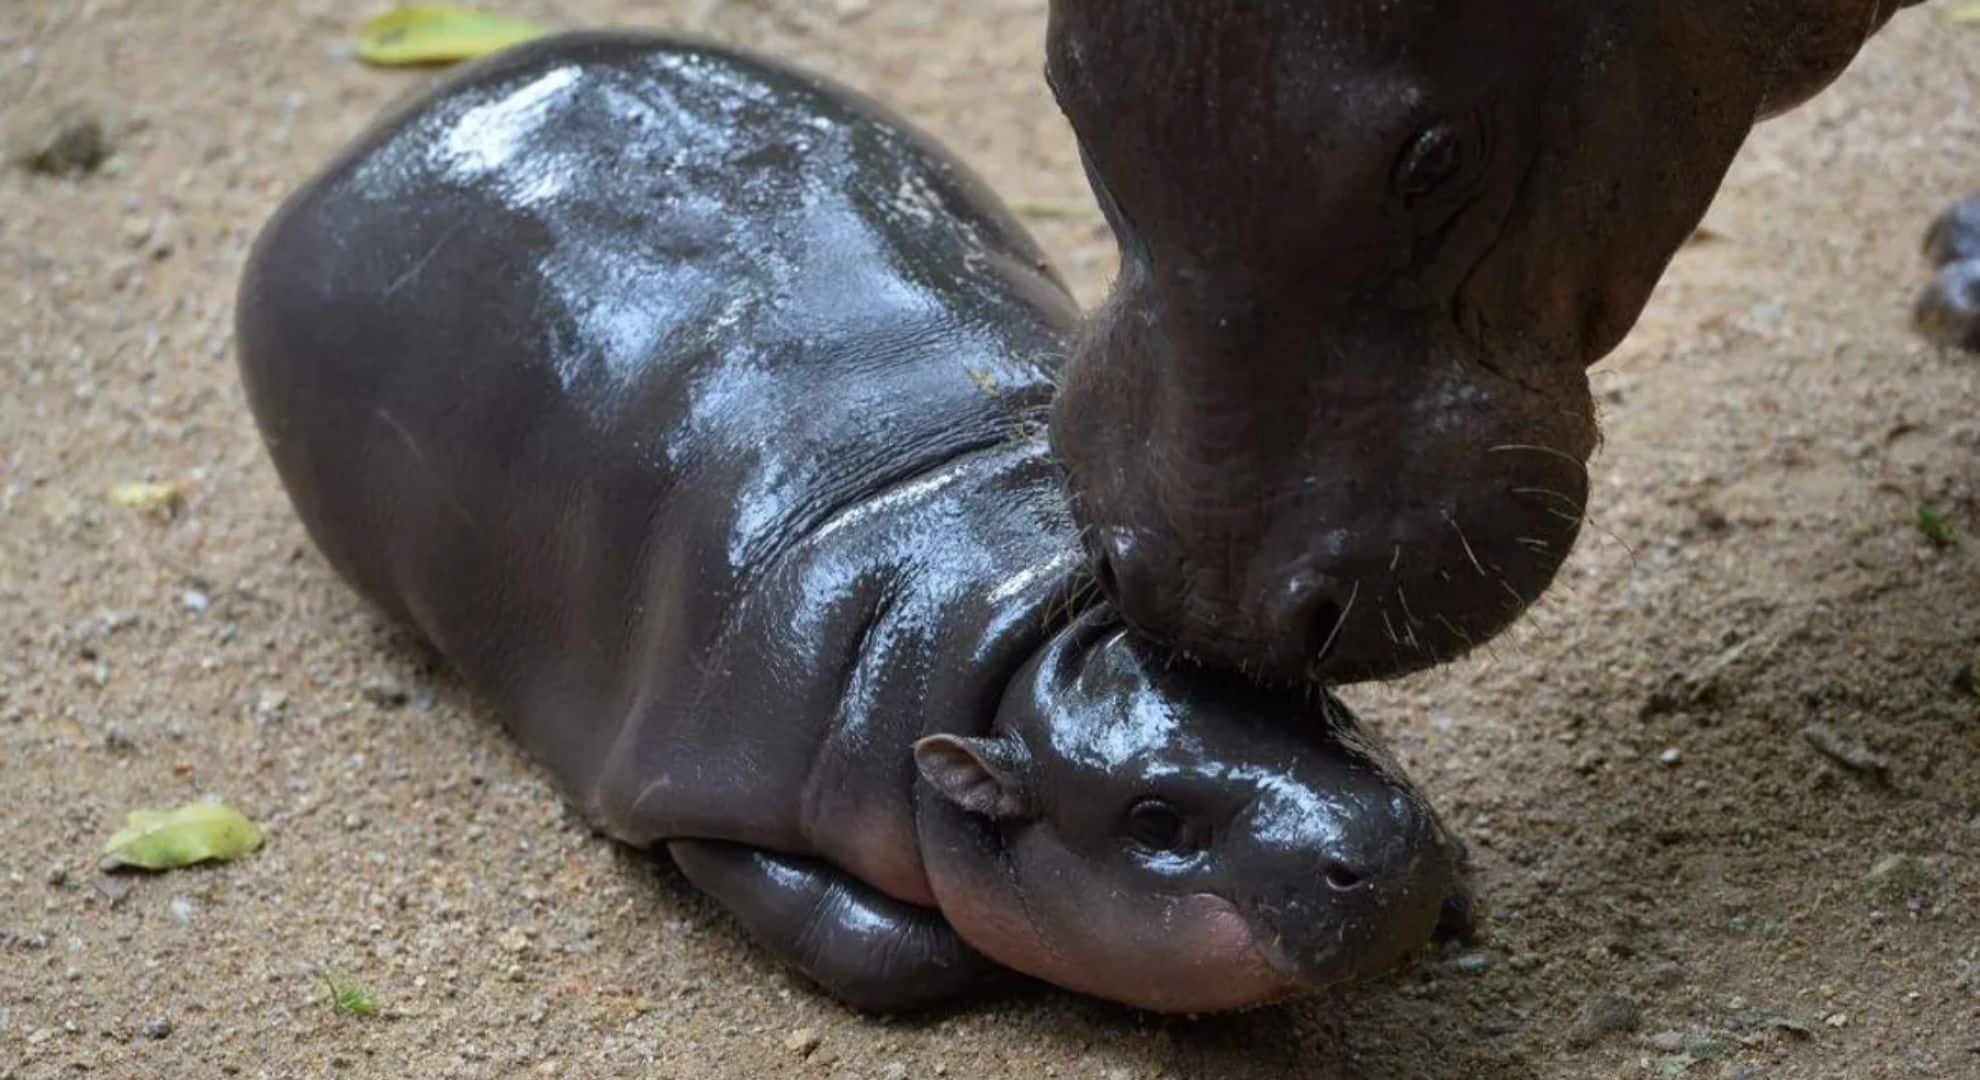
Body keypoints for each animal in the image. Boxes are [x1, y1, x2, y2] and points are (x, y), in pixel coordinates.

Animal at [239, 31, 1465, 1010]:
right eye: (1155, 820)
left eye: (1310, 697)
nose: (1379, 847)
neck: (1013, 605)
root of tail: (378, 137)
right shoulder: (702, 786)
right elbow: (876, 943)